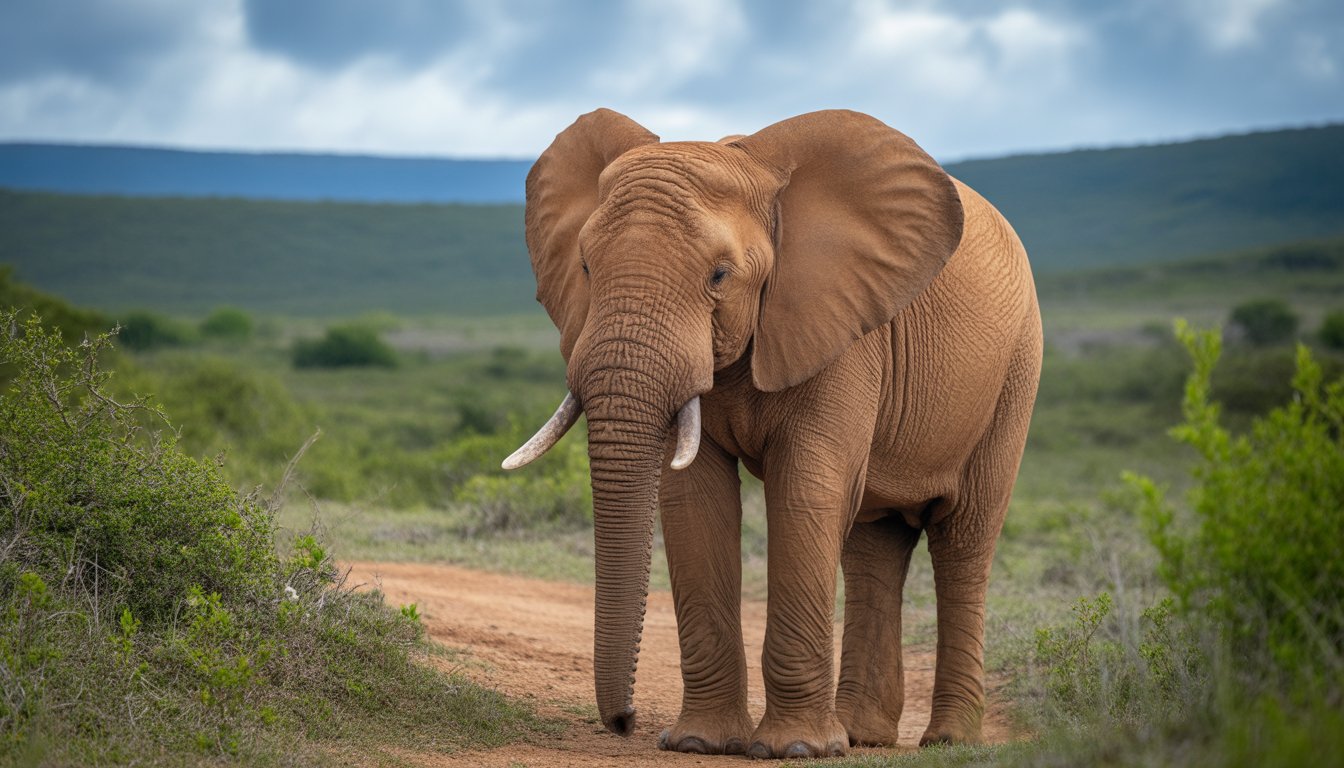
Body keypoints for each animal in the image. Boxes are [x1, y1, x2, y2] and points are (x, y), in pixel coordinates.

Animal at [503, 108, 1042, 759]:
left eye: (719, 275)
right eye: (585, 267)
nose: (624, 723)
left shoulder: (841, 326)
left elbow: (806, 490)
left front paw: (795, 750)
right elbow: (694, 500)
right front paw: (700, 743)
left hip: (1015, 372)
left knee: (963, 540)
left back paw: (945, 741)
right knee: (874, 543)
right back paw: (859, 735)